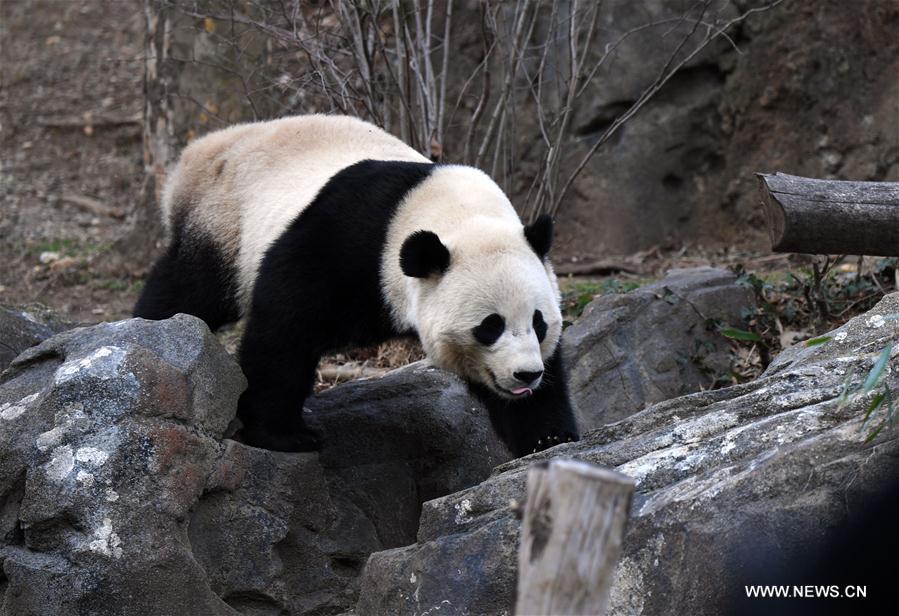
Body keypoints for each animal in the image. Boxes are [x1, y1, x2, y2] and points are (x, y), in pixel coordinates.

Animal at [134, 115, 579, 457]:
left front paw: (548, 439)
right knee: (191, 288)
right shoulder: (348, 241)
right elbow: (284, 325)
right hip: (225, 220)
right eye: (490, 326)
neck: (458, 215)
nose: (526, 375)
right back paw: (151, 326)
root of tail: (199, 152)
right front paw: (284, 435)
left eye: (539, 323)